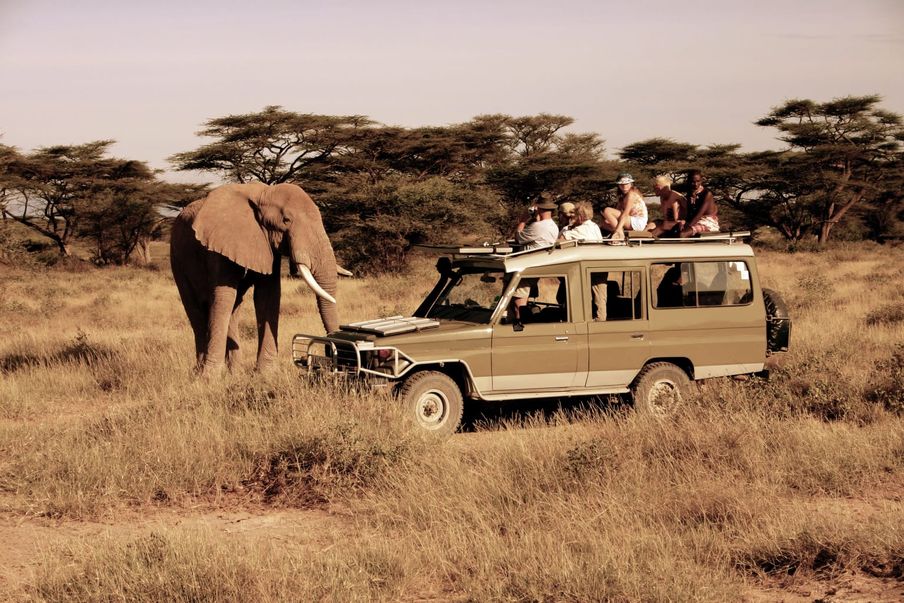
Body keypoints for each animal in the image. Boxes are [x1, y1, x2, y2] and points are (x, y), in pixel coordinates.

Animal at [170, 181, 339, 373]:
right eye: (286, 220)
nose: (330, 353)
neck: (264, 193)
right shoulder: (218, 245)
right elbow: (223, 298)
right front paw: (209, 376)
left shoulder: (268, 246)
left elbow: (268, 296)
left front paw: (266, 374)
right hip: (177, 259)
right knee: (196, 311)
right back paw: (199, 370)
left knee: (233, 309)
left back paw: (234, 372)